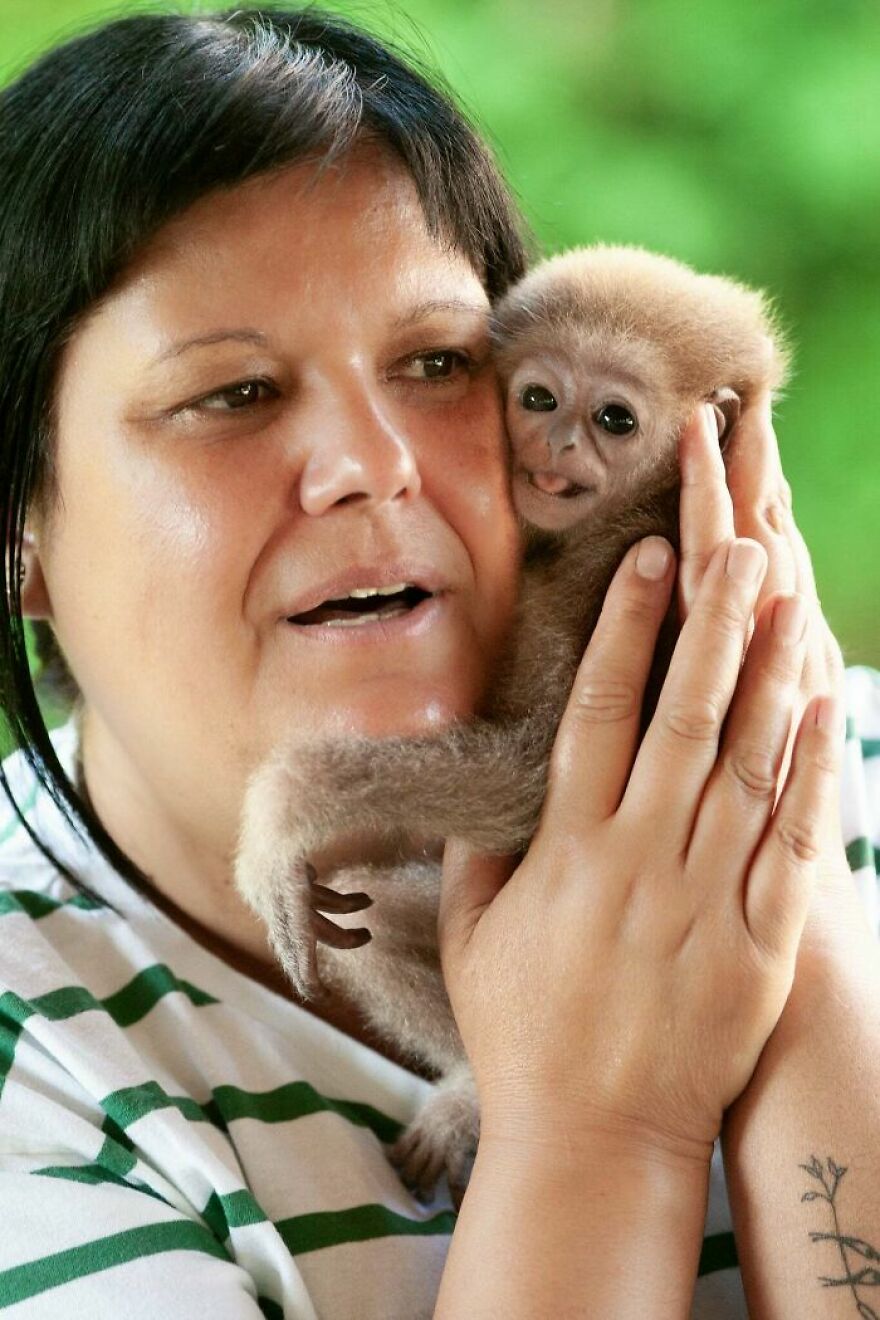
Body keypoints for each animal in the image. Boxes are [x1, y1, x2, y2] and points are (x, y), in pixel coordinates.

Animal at [232, 245, 790, 1204]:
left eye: (613, 418)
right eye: (537, 399)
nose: (556, 443)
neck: (635, 509)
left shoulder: (630, 562)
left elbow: (532, 783)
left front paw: (285, 814)